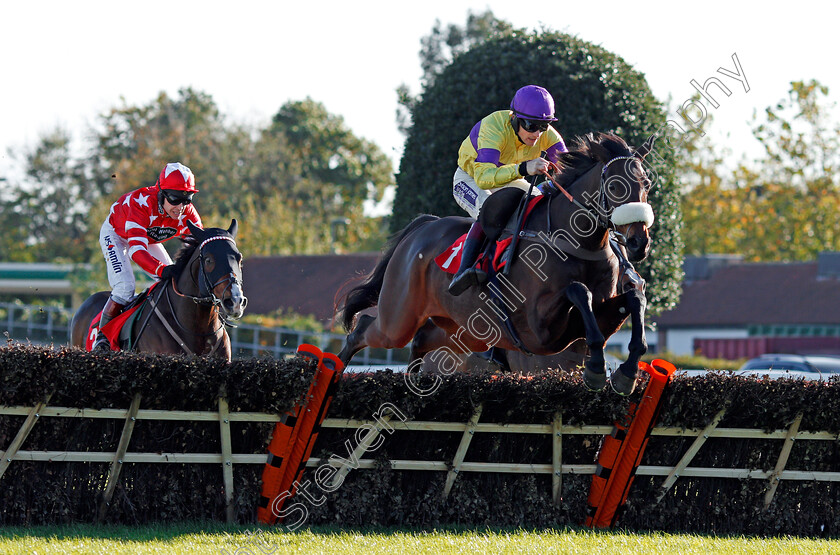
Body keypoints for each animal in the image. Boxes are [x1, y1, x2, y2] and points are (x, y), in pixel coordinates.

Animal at [340, 134, 656, 396]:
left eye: (647, 184)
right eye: (614, 185)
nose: (638, 242)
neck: (577, 244)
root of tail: (423, 227)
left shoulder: (590, 321)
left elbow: (632, 300)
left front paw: (626, 372)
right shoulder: (538, 330)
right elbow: (579, 291)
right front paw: (597, 369)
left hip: (464, 331)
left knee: (420, 339)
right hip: (398, 318)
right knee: (365, 328)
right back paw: (335, 369)